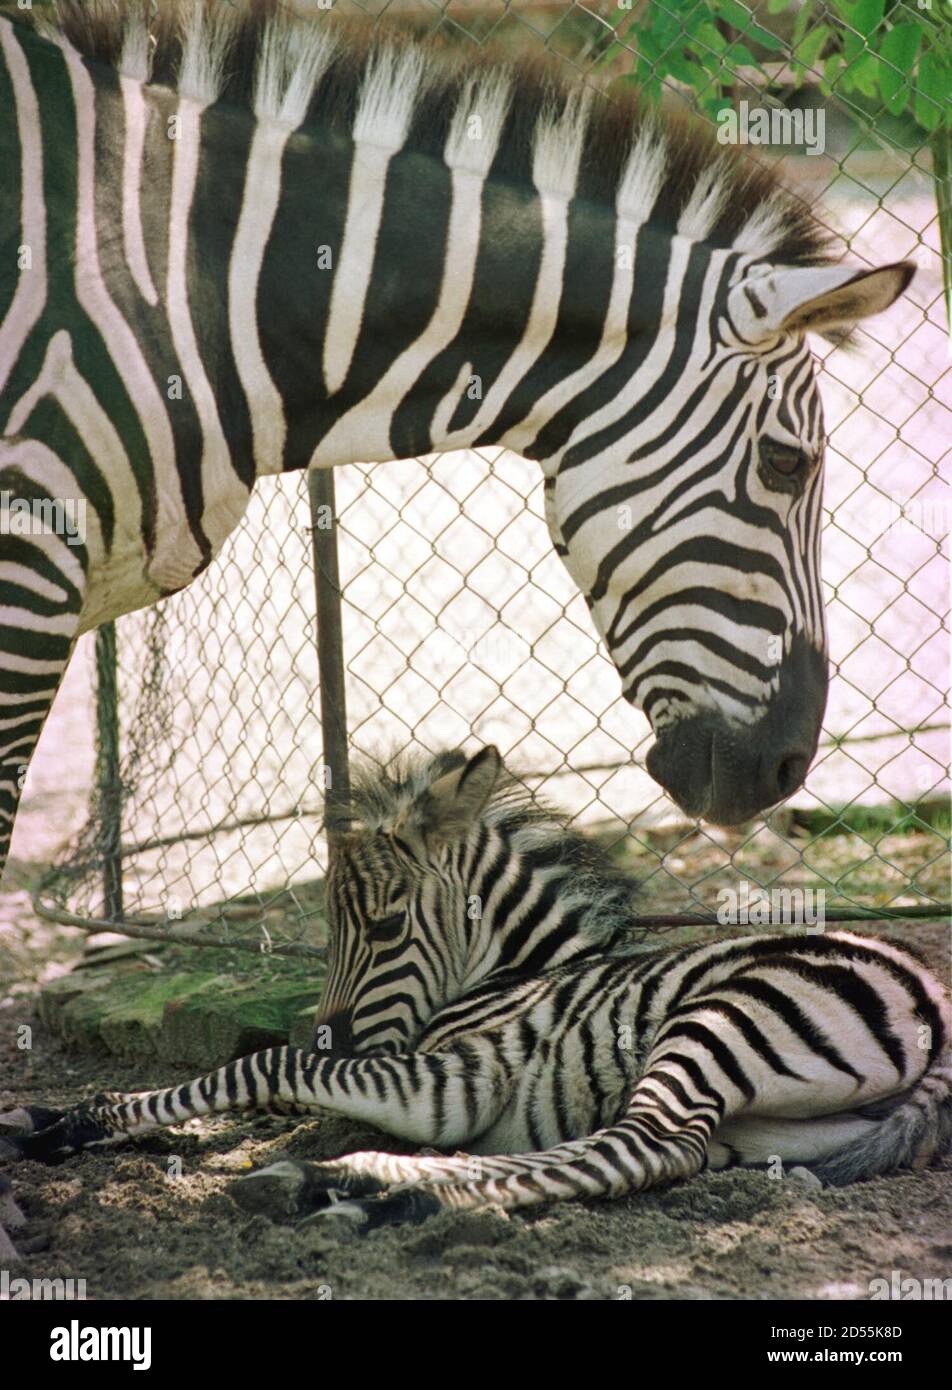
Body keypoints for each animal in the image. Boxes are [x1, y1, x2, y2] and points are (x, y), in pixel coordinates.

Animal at [0, 750, 945, 1228]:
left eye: (384, 928)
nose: (336, 1038)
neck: (513, 973)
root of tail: (931, 992)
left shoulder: (462, 1079)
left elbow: (263, 1067)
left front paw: (81, 1121)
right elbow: (266, 1079)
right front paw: (64, 1117)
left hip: (716, 1025)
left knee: (645, 1147)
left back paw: (383, 1185)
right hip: (768, 1130)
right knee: (650, 1151)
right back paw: (359, 1180)